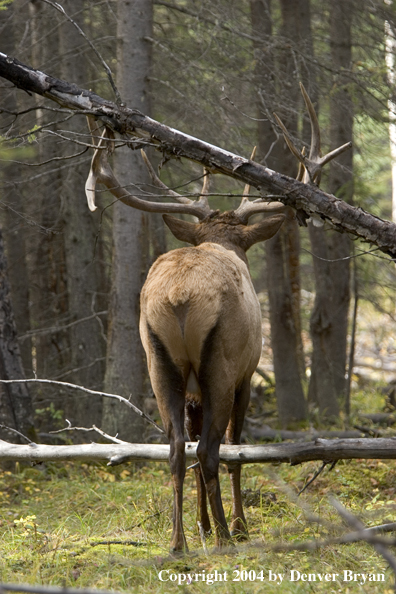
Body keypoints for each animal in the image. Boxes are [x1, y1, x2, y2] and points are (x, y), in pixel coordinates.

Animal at [86, 84, 350, 552]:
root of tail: (178, 297)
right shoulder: (247, 373)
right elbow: (236, 450)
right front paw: (234, 525)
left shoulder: (192, 390)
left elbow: (190, 447)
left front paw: (202, 525)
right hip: (220, 365)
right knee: (211, 449)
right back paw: (229, 535)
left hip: (161, 363)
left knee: (177, 448)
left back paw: (179, 542)